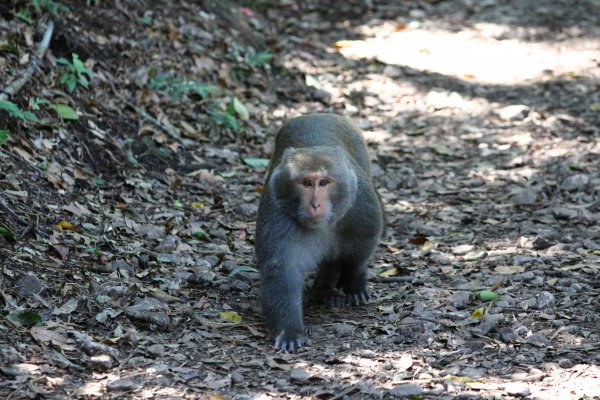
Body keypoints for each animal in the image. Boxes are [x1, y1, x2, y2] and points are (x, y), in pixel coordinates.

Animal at [254, 112, 384, 350]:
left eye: (324, 182)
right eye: (306, 183)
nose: (315, 204)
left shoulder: (360, 203)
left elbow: (363, 244)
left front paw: (355, 282)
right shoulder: (276, 211)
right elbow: (282, 268)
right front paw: (290, 331)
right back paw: (324, 291)